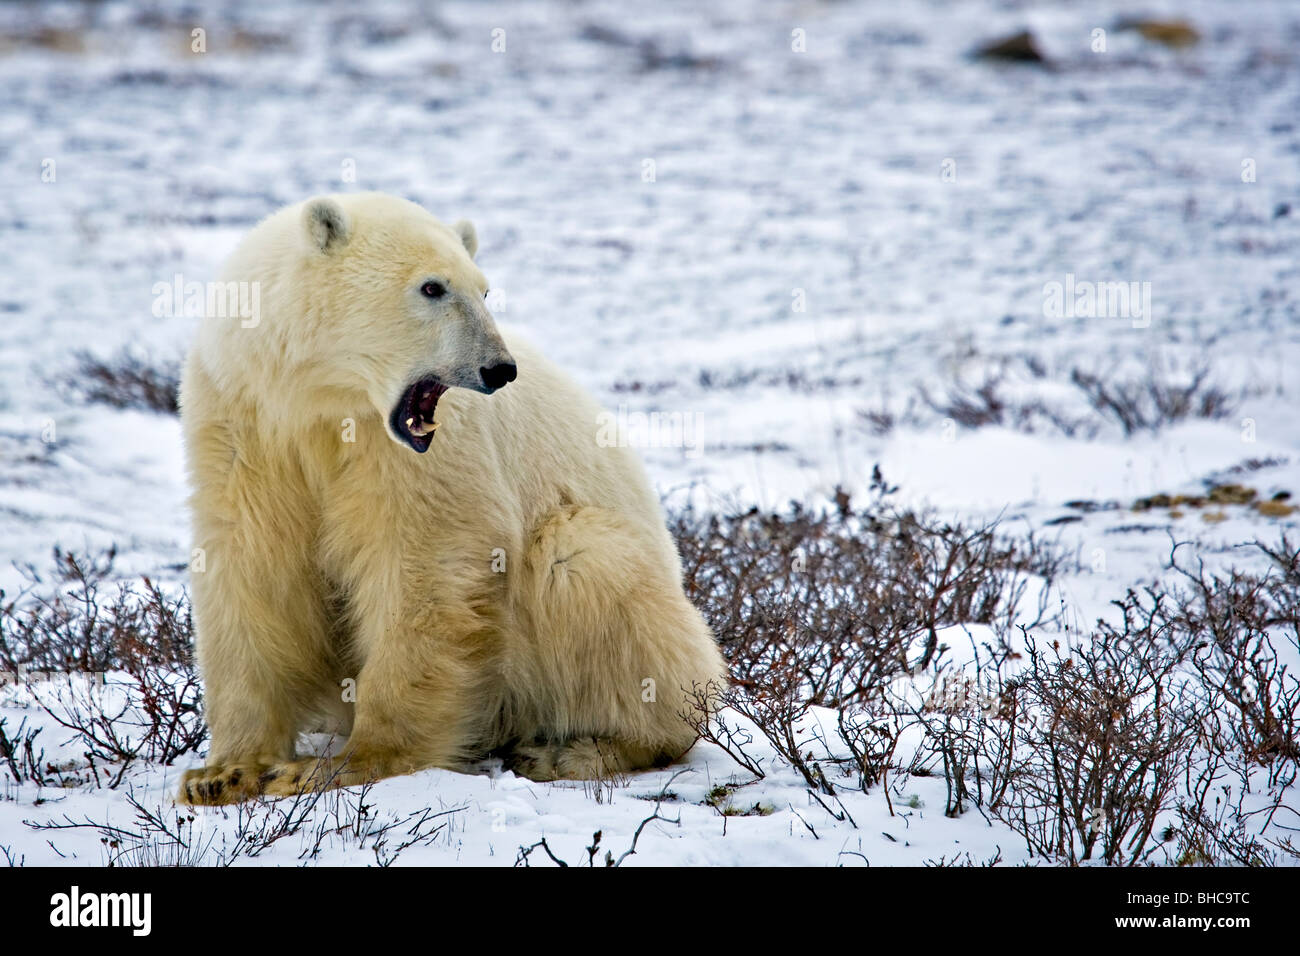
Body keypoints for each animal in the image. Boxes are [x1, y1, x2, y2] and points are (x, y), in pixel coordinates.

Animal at [180, 191, 733, 806]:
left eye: (484, 290)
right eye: (432, 287)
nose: (499, 368)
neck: (320, 400)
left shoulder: (421, 450)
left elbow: (424, 561)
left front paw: (346, 762)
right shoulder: (247, 422)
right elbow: (252, 565)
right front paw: (225, 773)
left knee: (584, 567)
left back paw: (570, 750)